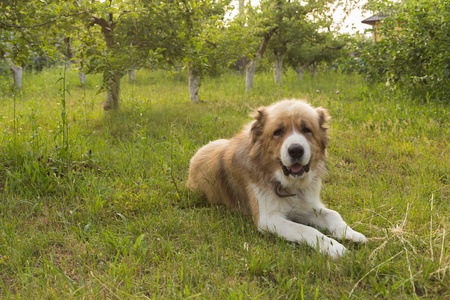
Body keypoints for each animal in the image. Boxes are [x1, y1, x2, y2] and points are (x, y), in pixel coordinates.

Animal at [186, 99, 366, 258]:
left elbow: (333, 214)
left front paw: (350, 233)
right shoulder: (268, 219)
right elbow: (306, 229)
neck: (287, 183)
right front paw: (333, 247)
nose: (296, 150)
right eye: (278, 132)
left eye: (307, 129)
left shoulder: (304, 206)